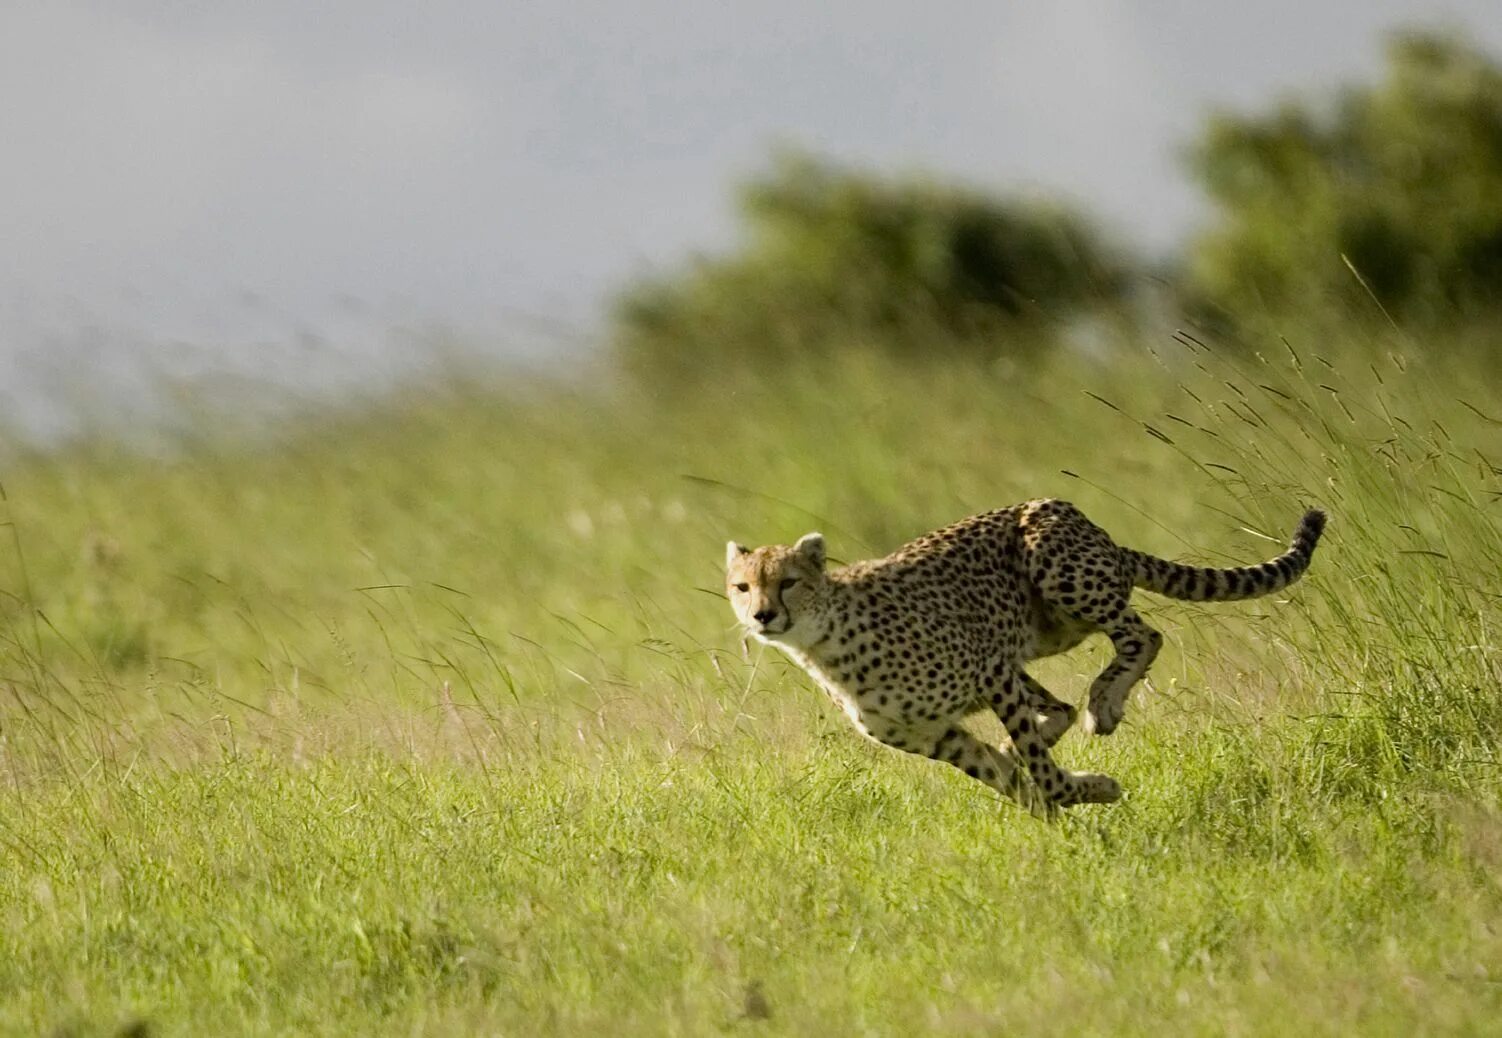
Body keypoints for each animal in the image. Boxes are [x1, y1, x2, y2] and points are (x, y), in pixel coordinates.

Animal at [726, 498, 1327, 811]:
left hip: (1057, 570)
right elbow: (1007, 778)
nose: (762, 616)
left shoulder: (989, 670)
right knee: (1060, 705)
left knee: (1142, 637)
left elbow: (1040, 771)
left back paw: (1104, 702)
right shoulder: (938, 734)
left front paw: (1087, 790)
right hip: (1040, 634)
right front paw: (1057, 810)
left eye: (788, 583)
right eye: (743, 586)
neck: (824, 644)